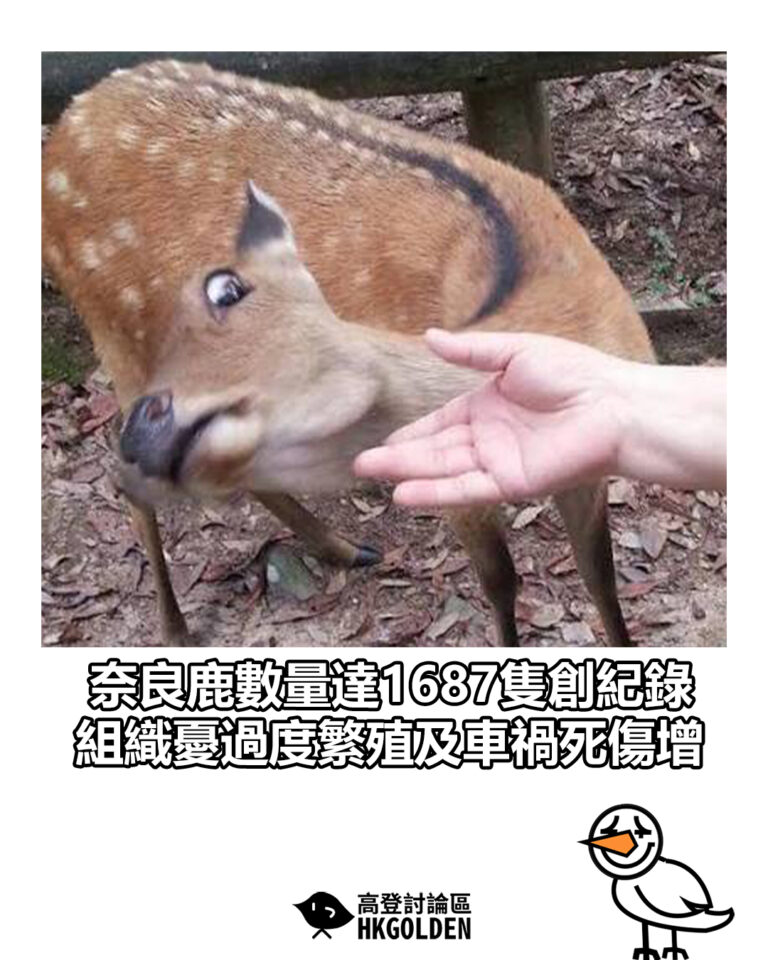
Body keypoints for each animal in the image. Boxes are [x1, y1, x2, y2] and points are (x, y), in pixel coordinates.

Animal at [41, 58, 655, 648]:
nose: (150, 432)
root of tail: (65, 130)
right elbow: (501, 582)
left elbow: (600, 576)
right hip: (115, 330)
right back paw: (174, 625)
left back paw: (342, 548)